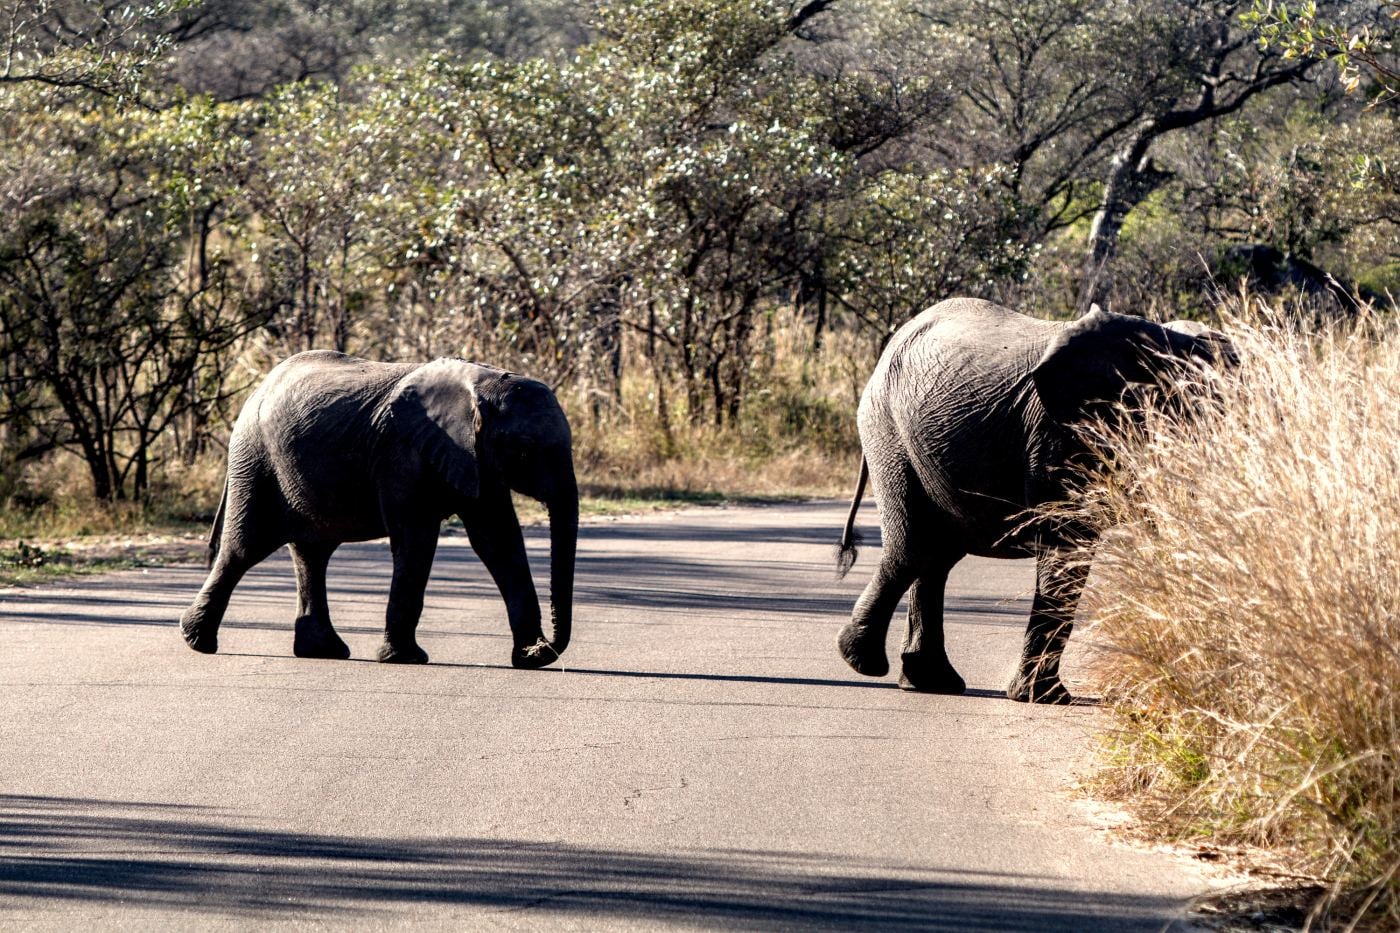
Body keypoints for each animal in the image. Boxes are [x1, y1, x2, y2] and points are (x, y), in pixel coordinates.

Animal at [180, 351, 577, 669]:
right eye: (523, 448)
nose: (547, 649)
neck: (480, 384)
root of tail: (256, 390)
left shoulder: (476, 460)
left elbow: (498, 540)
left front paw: (531, 658)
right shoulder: (401, 454)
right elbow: (416, 542)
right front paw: (405, 659)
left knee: (312, 554)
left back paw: (323, 652)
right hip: (255, 461)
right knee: (245, 548)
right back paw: (197, 642)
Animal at [834, 298, 1231, 704]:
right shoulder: (1062, 432)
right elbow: (1066, 549)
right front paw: (1044, 698)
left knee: (938, 555)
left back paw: (931, 682)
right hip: (888, 433)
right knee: (916, 547)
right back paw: (864, 663)